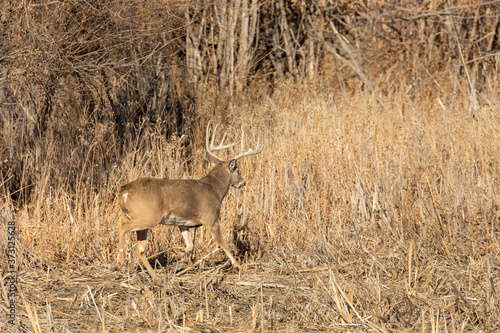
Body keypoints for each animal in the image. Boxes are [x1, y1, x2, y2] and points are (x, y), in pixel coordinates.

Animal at [115, 123, 264, 278]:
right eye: (238, 171)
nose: (243, 183)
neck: (215, 190)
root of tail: (124, 192)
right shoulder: (211, 218)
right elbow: (223, 243)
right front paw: (239, 266)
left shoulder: (182, 223)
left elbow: (190, 244)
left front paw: (176, 255)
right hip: (148, 216)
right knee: (122, 225)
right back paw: (120, 262)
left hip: (142, 221)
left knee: (140, 249)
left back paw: (156, 277)